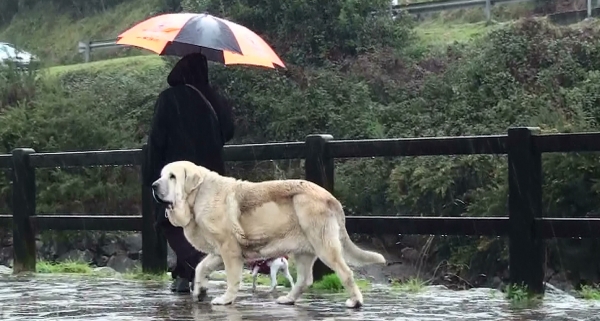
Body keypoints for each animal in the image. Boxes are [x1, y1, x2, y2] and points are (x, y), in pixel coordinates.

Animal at [150, 160, 384, 308]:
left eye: (172, 177)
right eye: (161, 175)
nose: (153, 185)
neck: (197, 196)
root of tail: (330, 197)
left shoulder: (229, 250)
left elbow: (232, 278)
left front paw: (226, 299)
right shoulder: (218, 252)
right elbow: (200, 268)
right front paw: (200, 291)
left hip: (324, 245)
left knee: (345, 273)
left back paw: (356, 302)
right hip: (303, 251)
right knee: (305, 279)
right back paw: (288, 299)